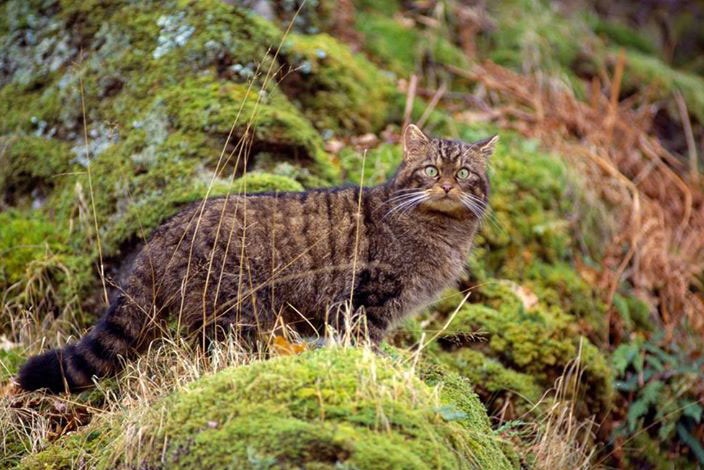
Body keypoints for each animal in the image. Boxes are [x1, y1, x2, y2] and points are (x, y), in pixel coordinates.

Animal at [19, 124, 498, 392]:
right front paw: (374, 372)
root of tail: (163, 231)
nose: (448, 186)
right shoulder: (367, 302)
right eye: (432, 171)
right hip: (237, 308)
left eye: (464, 173)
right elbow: (364, 344)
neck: (440, 231)